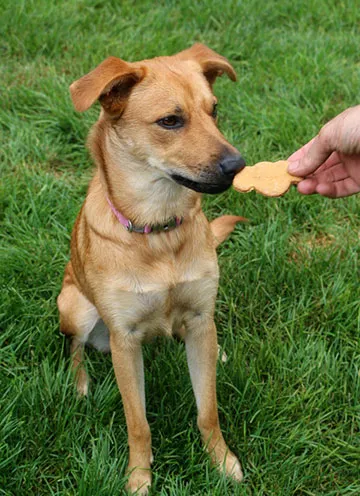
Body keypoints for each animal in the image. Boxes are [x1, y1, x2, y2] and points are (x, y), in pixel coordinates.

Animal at [57, 44, 246, 494]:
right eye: (170, 120)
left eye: (215, 110)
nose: (238, 165)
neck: (160, 231)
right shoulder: (125, 341)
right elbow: (137, 422)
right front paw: (139, 478)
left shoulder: (199, 317)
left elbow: (207, 410)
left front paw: (222, 462)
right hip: (75, 306)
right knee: (75, 348)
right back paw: (81, 384)